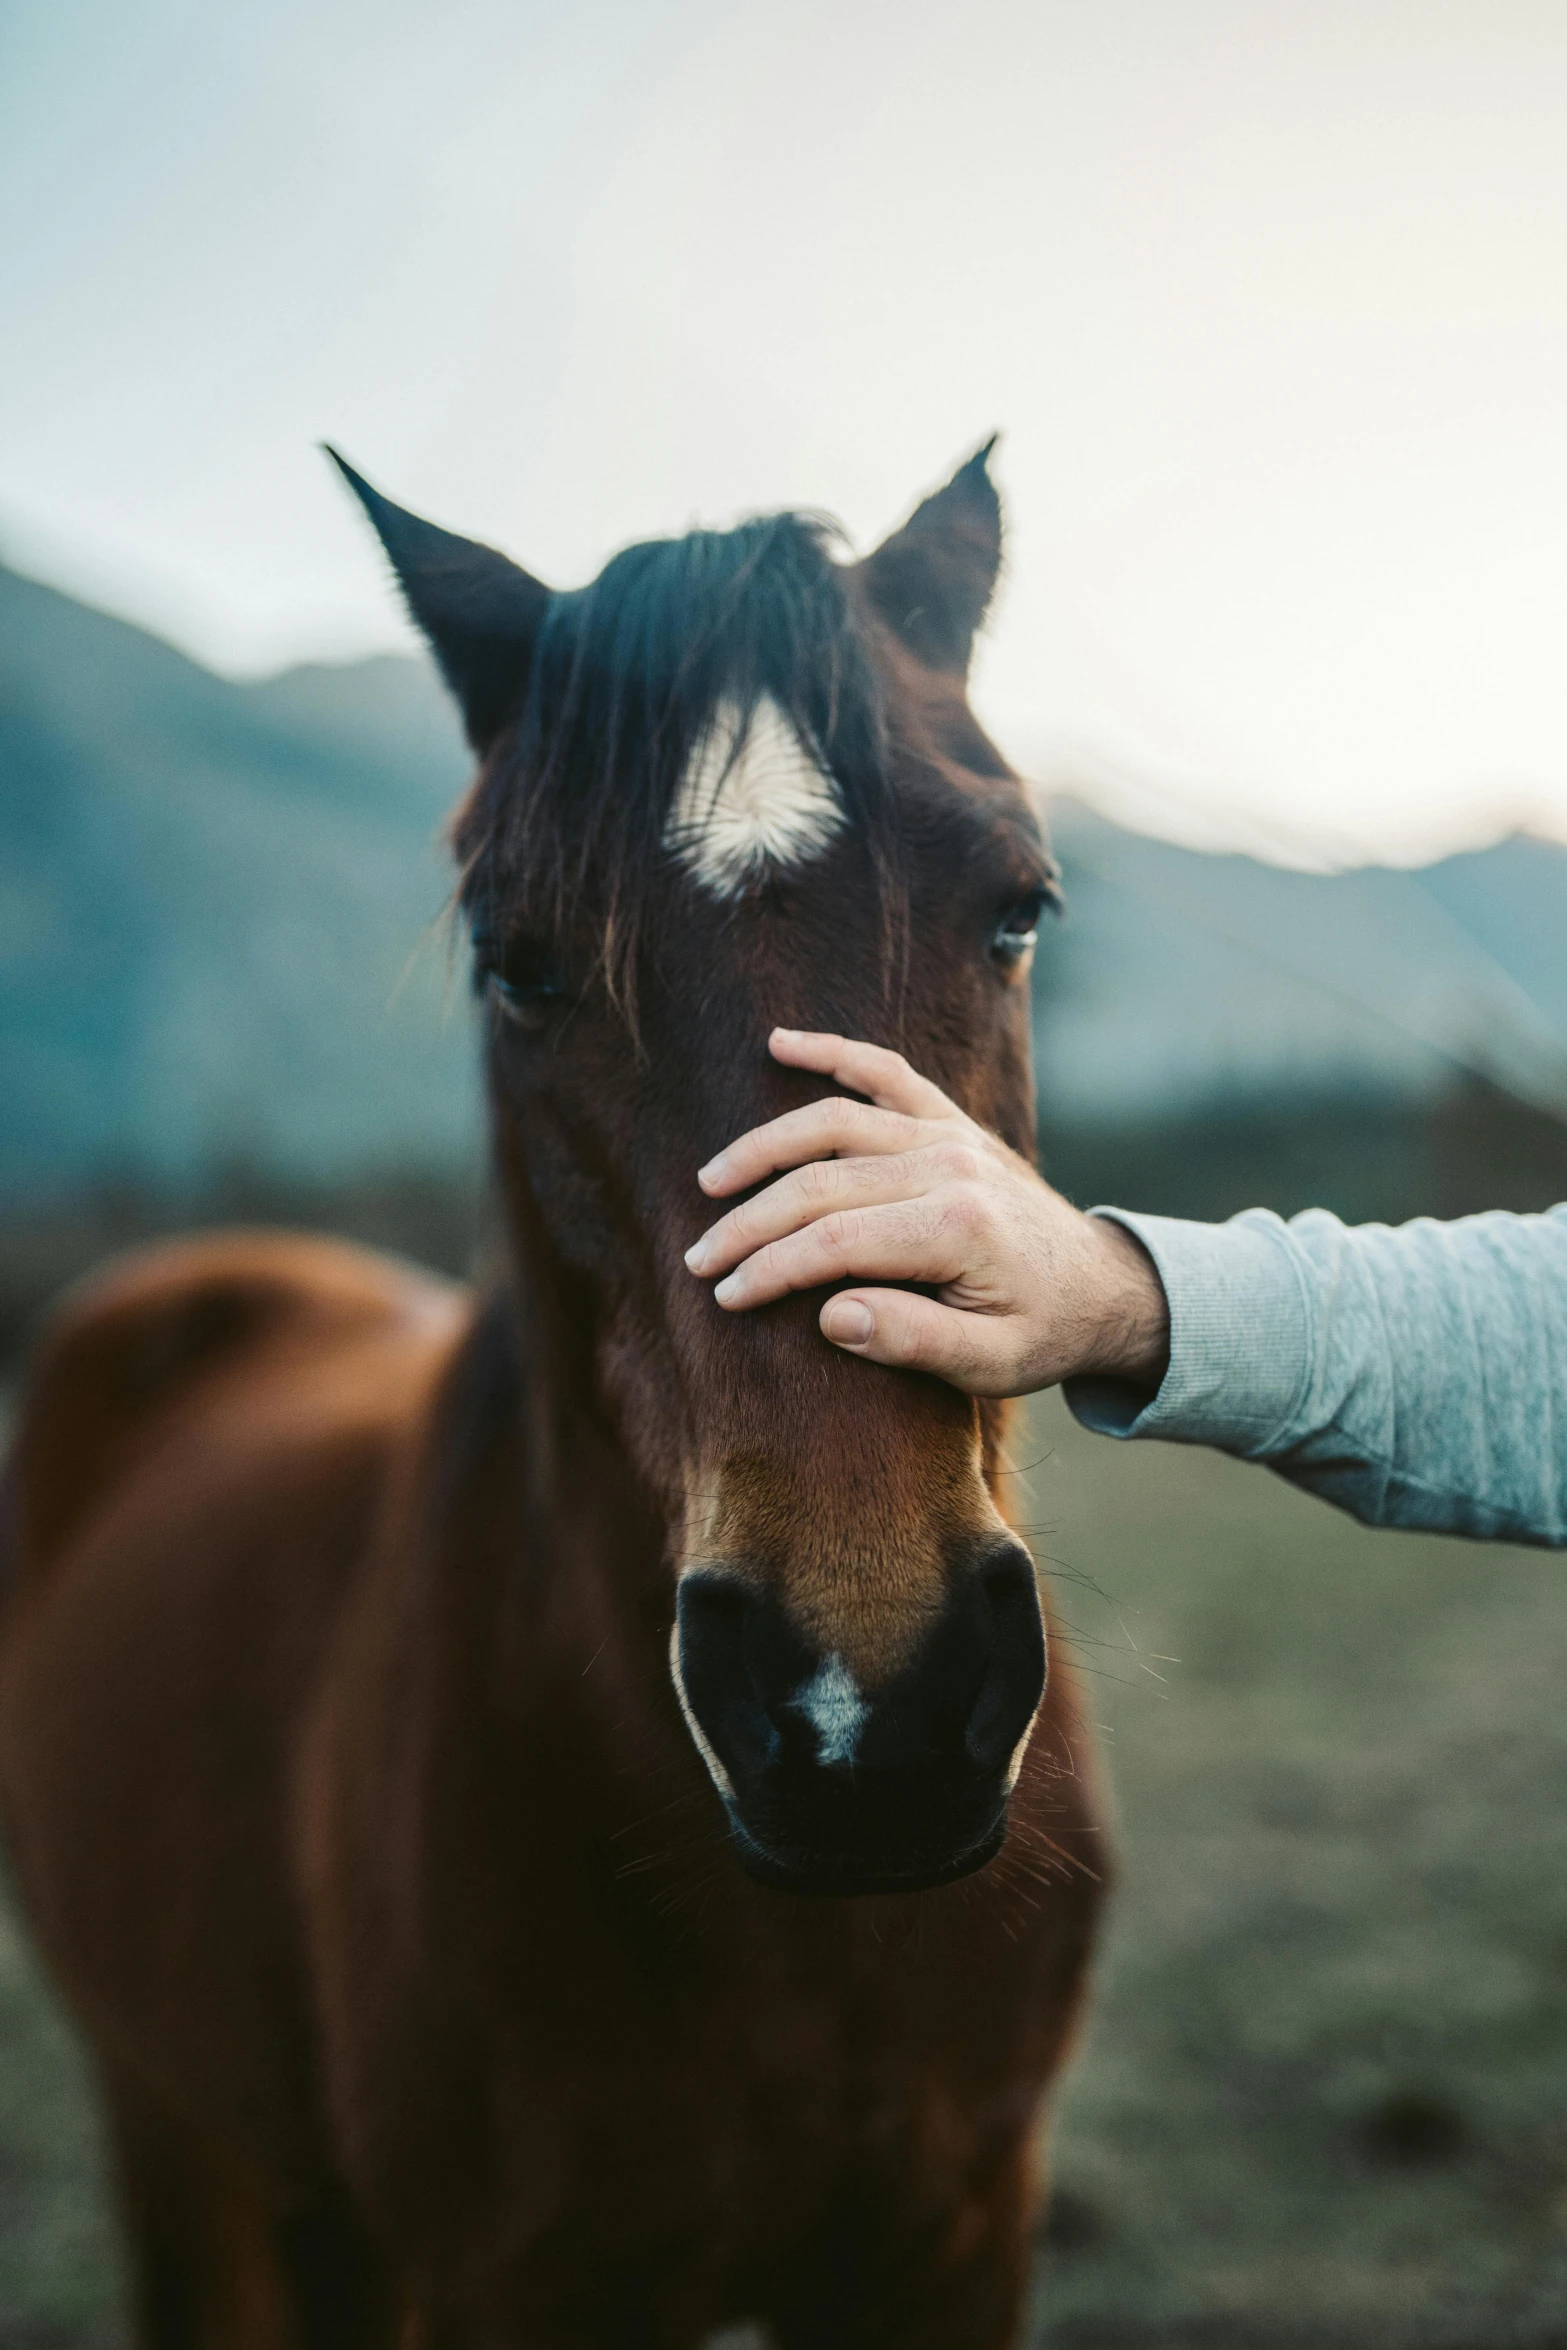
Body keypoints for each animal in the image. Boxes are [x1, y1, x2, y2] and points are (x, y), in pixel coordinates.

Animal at [0, 444, 1108, 2350]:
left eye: (1015, 908)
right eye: (514, 960)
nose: (862, 1711)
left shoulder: (950, 2237)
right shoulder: (509, 2279)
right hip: (177, 2143)